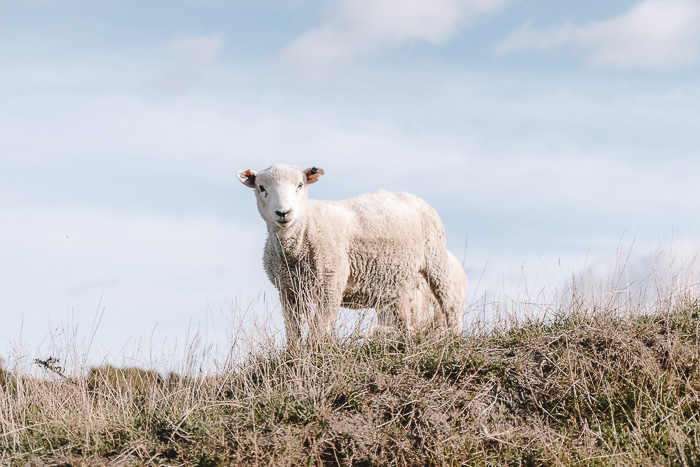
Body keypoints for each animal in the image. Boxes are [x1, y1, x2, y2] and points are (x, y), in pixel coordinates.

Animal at [238, 165, 468, 344]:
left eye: (300, 185)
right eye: (261, 188)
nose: (283, 213)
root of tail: (412, 197)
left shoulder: (330, 282)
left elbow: (319, 327)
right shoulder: (288, 290)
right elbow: (293, 329)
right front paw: (294, 355)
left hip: (435, 258)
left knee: (450, 302)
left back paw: (455, 338)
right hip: (400, 285)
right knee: (405, 321)